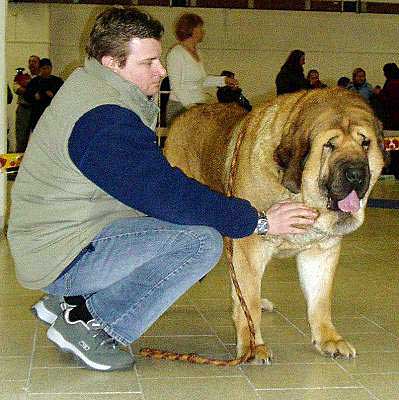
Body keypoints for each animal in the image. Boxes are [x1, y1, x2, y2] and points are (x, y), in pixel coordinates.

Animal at [164, 89, 386, 364]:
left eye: (365, 143)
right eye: (329, 145)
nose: (356, 173)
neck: (298, 194)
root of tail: (184, 114)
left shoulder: (321, 251)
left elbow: (320, 300)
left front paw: (329, 339)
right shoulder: (249, 248)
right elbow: (248, 302)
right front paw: (253, 346)